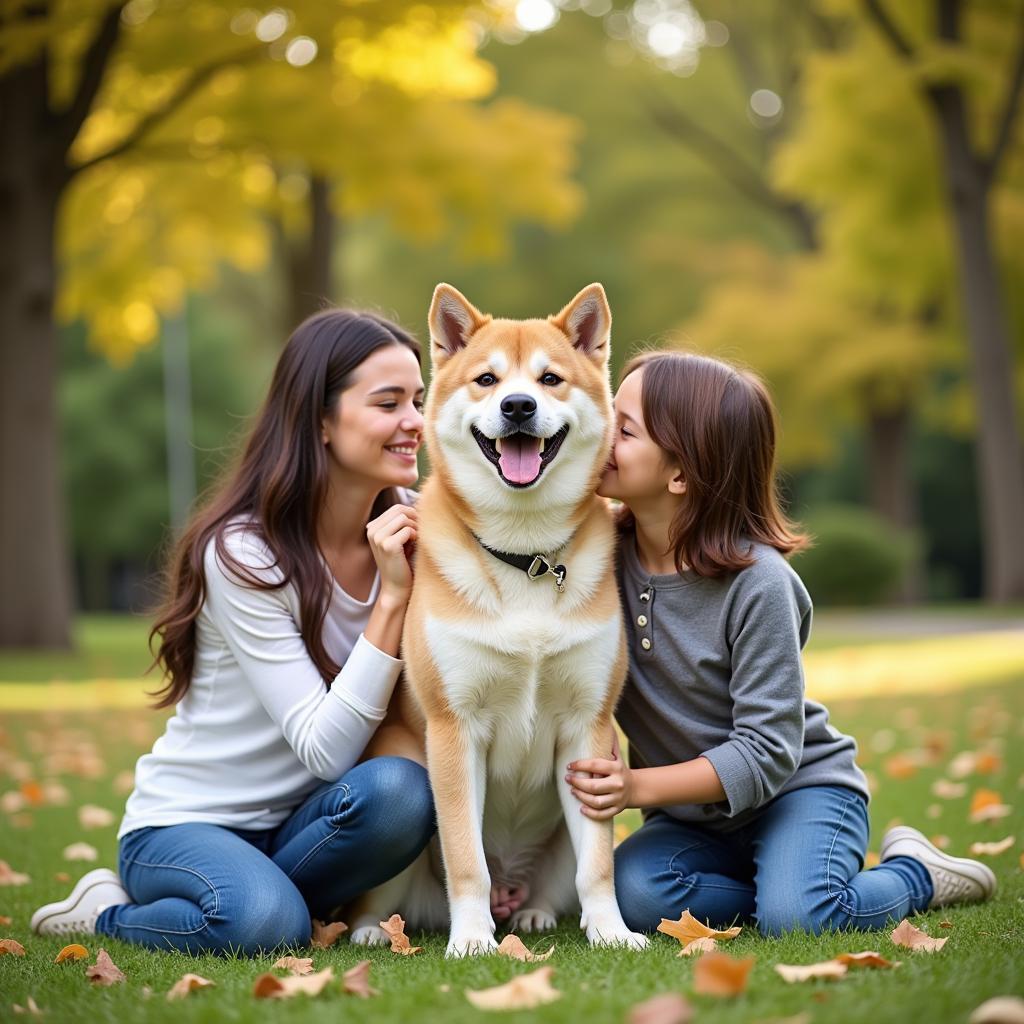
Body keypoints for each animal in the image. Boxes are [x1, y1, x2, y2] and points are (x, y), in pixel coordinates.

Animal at [348, 284, 643, 954]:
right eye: (487, 379)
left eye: (550, 378)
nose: (517, 405)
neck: (525, 556)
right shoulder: (454, 729)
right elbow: (467, 859)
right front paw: (471, 941)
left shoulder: (588, 729)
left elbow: (598, 865)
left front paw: (612, 931)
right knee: (386, 901)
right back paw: (377, 929)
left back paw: (532, 914)